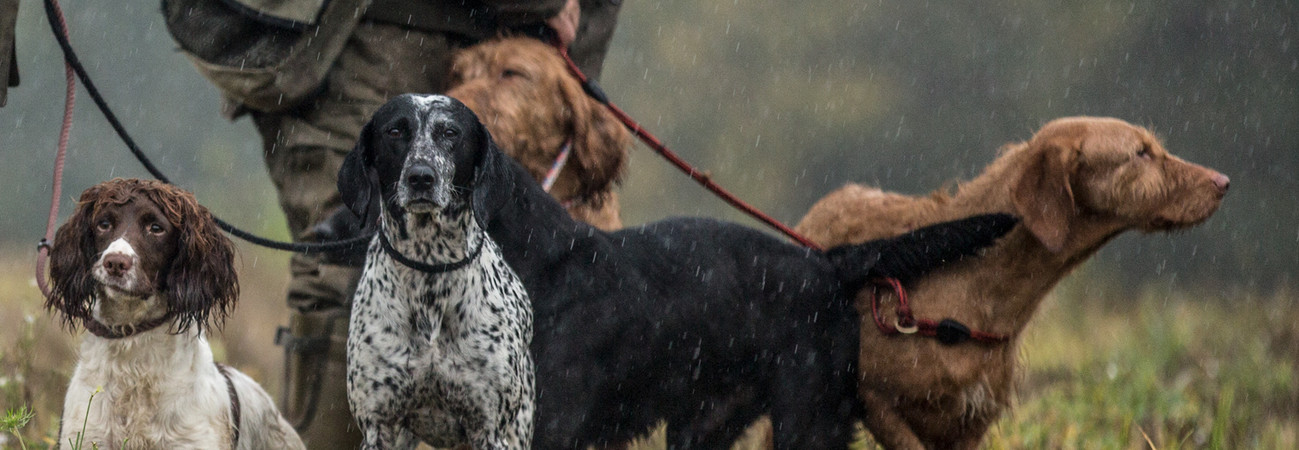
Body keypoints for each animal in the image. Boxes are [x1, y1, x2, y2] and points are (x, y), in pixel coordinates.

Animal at [342, 92, 535, 447]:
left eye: (450, 132)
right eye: (395, 131)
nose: (421, 176)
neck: (429, 267)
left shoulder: (488, 429)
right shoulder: (378, 426)